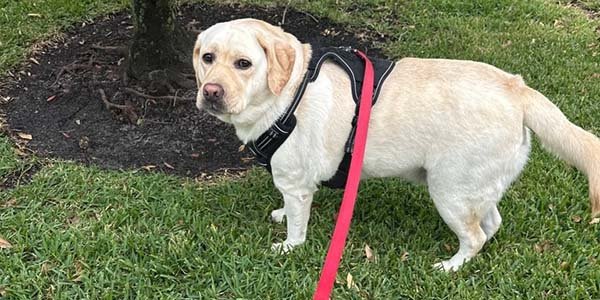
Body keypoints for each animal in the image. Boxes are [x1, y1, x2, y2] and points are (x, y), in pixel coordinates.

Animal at [193, 19, 600, 272]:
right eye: (207, 57)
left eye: (244, 63)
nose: (210, 92)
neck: (290, 91)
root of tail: (518, 90)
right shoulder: (293, 185)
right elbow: (287, 209)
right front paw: (280, 215)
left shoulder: (296, 184)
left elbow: (297, 227)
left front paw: (289, 246)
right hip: (476, 187)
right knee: (491, 223)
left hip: (450, 191)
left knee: (475, 236)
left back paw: (451, 266)